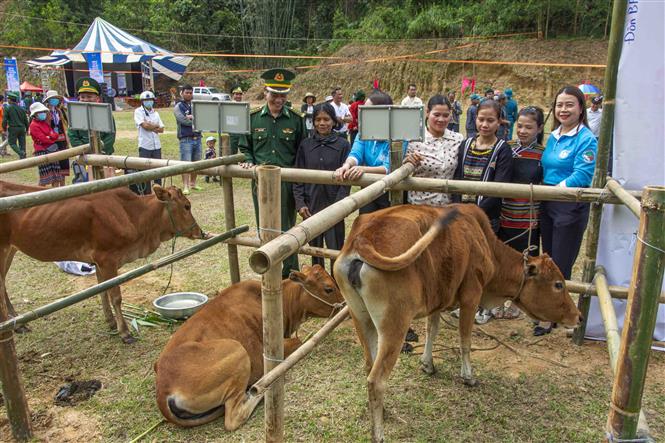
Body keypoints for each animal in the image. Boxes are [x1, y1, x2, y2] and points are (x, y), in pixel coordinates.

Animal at [154, 266, 342, 432]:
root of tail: (164, 389)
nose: (344, 303)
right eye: (328, 288)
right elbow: (300, 339)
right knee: (233, 418)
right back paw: (261, 391)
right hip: (238, 351)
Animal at [332, 206, 580, 443]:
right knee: (376, 380)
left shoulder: (437, 300)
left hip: (360, 318)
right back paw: (379, 434)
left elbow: (432, 330)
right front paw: (468, 377)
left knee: (368, 366)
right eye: (558, 284)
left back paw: (385, 411)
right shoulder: (471, 295)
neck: (485, 244)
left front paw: (428, 364)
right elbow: (465, 341)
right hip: (395, 325)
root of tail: (362, 238)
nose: (578, 316)